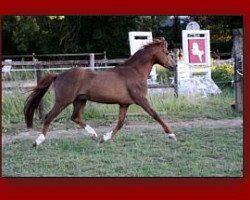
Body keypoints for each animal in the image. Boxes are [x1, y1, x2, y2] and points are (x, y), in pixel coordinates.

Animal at [24, 38, 178, 147]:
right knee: (49, 117)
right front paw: (171, 134)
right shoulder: (141, 100)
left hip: (80, 100)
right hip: (63, 101)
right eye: (166, 53)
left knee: (75, 117)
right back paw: (37, 141)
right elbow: (155, 115)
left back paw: (94, 135)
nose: (174, 66)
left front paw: (104, 138)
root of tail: (58, 75)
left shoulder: (124, 104)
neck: (134, 71)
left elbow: (120, 122)